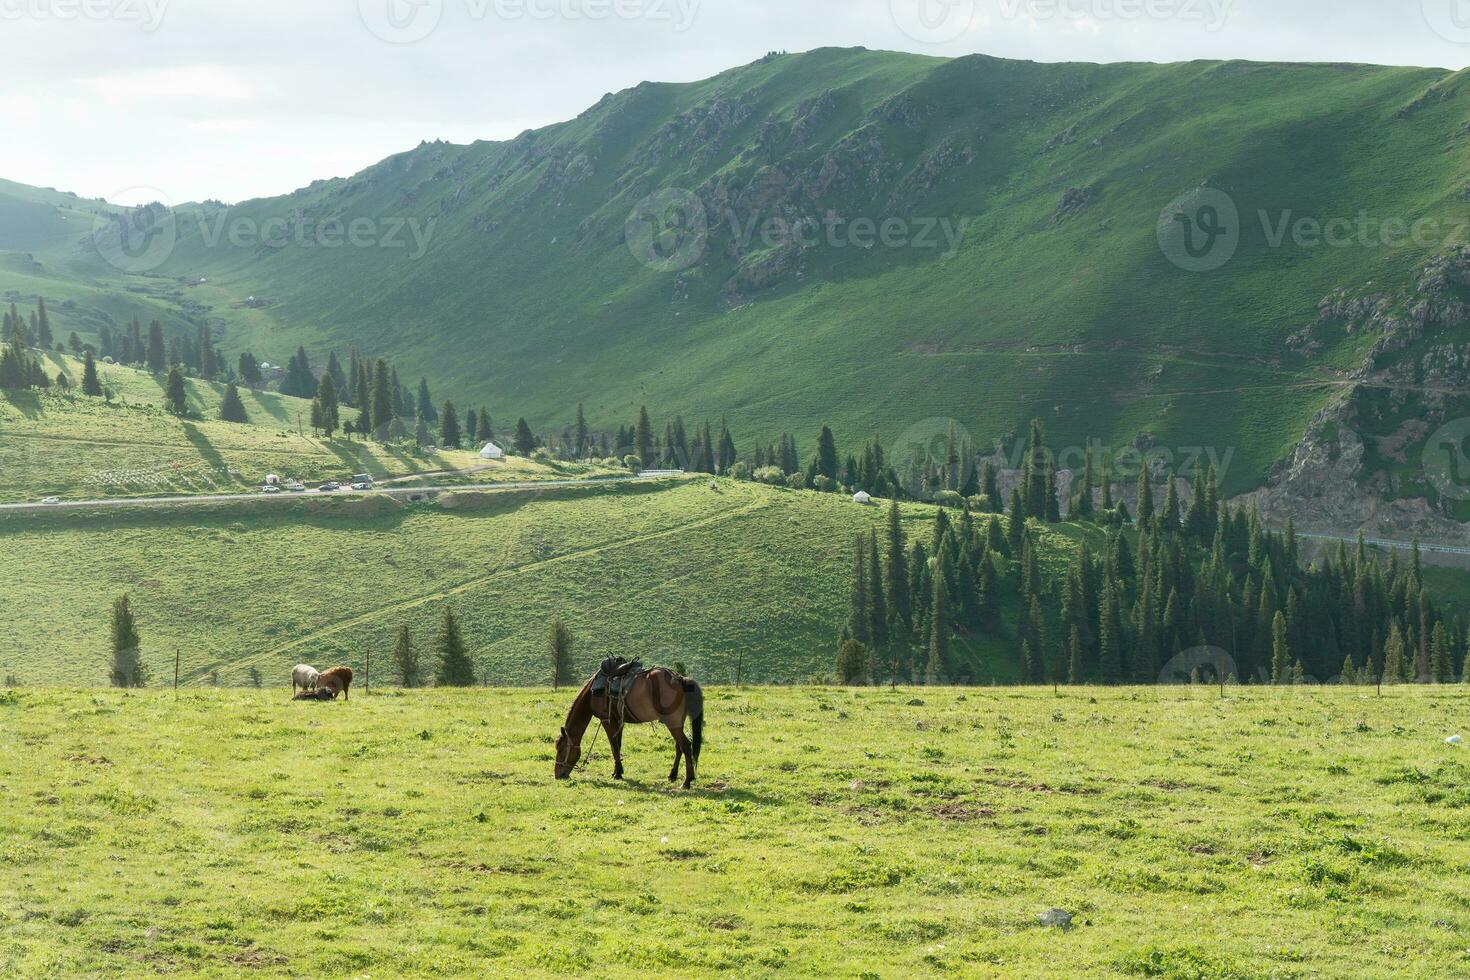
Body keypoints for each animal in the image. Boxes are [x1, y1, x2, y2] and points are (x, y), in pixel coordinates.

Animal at [555, 667, 705, 787]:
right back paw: (672, 775)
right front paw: (617, 771)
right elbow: (618, 745)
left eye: (561, 749)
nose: (558, 775)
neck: (592, 694)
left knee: (685, 745)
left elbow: (614, 746)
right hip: (676, 723)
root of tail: (680, 679)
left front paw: (617, 774)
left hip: (673, 723)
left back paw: (687, 781)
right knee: (679, 747)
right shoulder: (618, 721)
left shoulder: (607, 720)